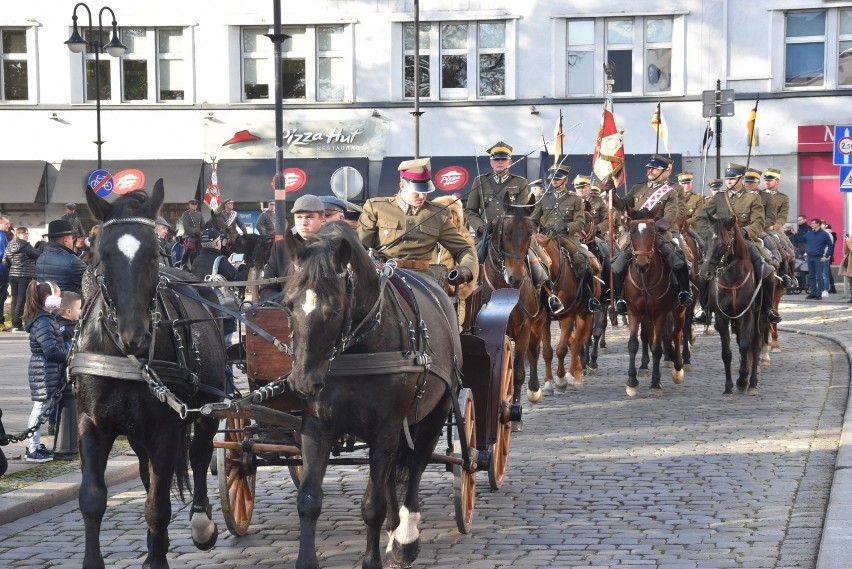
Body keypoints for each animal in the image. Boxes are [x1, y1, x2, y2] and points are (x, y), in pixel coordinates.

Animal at [73, 181, 228, 568]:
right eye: (102, 255)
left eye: (154, 254)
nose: (134, 334)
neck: (126, 356)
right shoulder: (91, 423)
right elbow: (93, 498)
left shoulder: (167, 427)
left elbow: (158, 504)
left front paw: (159, 556)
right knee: (147, 472)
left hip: (208, 405)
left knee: (199, 454)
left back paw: (201, 523)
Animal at [282, 222, 460, 568]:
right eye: (288, 304)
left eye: (333, 310)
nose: (303, 381)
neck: (358, 347)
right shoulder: (317, 425)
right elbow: (309, 498)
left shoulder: (386, 428)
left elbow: (372, 504)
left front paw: (374, 558)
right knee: (392, 474)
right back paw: (394, 530)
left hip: (438, 409)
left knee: (416, 465)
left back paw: (406, 537)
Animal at [482, 204, 548, 408]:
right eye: (506, 232)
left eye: (529, 232)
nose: (516, 277)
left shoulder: (524, 329)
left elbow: (518, 372)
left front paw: (515, 408)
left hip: (538, 323)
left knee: (534, 351)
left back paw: (534, 389)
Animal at [624, 212, 688, 394]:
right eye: (632, 232)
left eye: (652, 232)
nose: (642, 265)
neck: (645, 279)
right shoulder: (634, 312)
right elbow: (633, 344)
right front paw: (632, 381)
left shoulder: (660, 314)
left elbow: (658, 348)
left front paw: (655, 383)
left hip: (679, 310)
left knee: (677, 334)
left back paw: (678, 368)